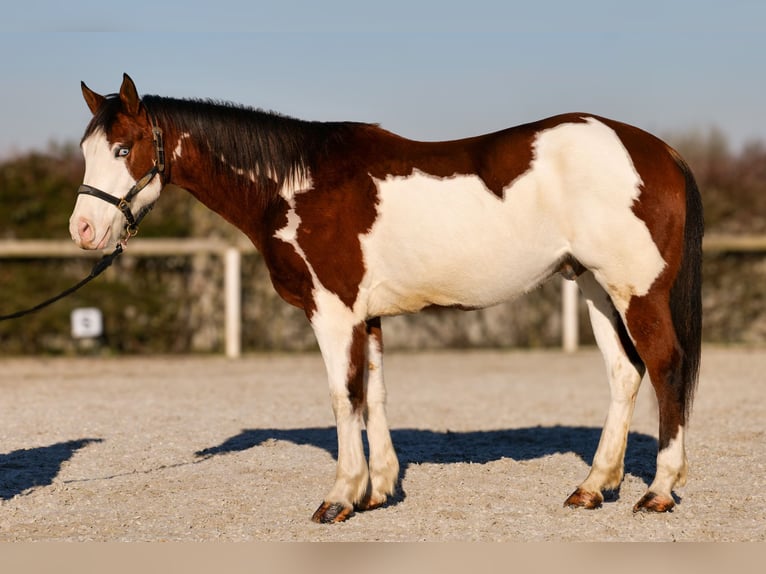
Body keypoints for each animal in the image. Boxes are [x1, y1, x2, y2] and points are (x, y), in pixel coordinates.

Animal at [69, 74, 703, 523]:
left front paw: (340, 497)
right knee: (625, 373)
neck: (294, 183)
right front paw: (378, 491)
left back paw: (658, 491)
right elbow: (372, 395)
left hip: (636, 291)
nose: (83, 230)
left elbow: (341, 397)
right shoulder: (367, 316)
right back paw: (593, 487)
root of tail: (659, 152)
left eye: (124, 149)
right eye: (86, 150)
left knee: (666, 368)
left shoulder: (332, 311)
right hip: (597, 288)